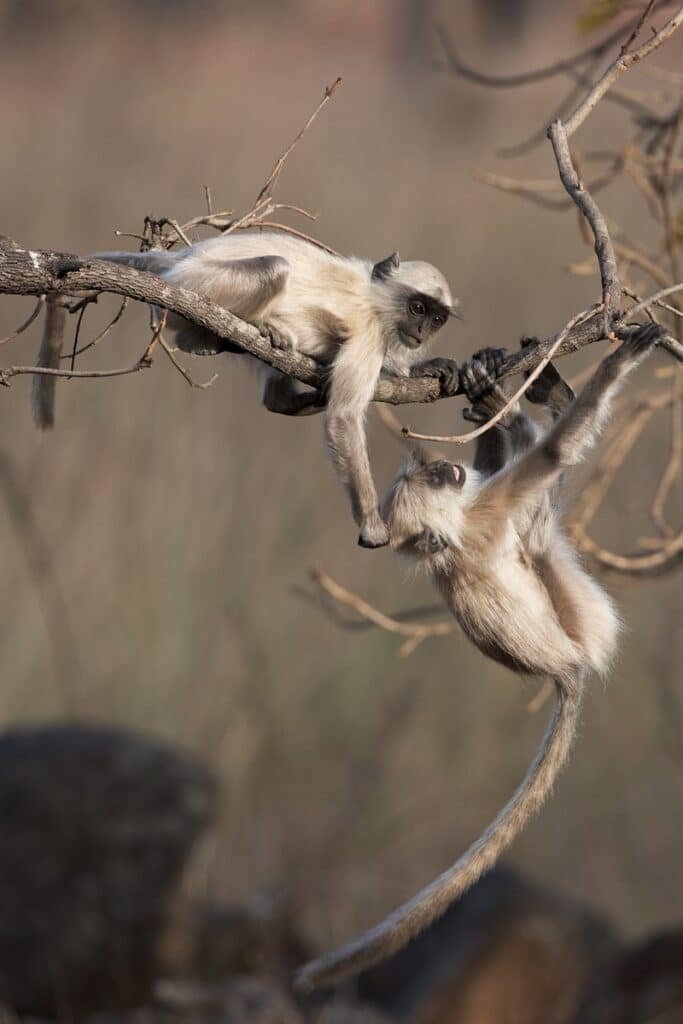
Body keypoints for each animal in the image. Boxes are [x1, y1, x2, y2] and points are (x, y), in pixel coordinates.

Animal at [82, 231, 464, 548]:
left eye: (436, 319)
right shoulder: (370, 330)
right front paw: (371, 526)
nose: (422, 331)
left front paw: (425, 367)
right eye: (417, 307)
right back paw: (210, 338)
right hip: (193, 283)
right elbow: (343, 417)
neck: (375, 297)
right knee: (272, 269)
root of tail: (181, 257)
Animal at [295, 324, 661, 990]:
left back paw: (515, 400)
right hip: (587, 621)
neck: (448, 543)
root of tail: (563, 672)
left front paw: (489, 389)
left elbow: (523, 464)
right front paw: (620, 357)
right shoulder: (484, 514)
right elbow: (550, 460)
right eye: (439, 481)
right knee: (540, 524)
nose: (448, 466)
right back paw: (542, 403)